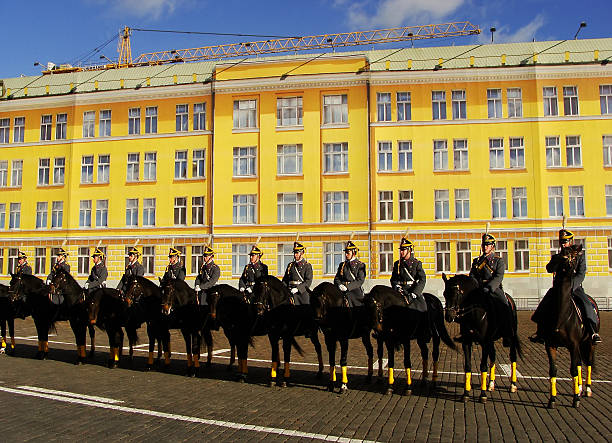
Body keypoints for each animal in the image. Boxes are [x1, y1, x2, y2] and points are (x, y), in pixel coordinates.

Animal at [440, 272, 520, 404]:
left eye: (457, 294)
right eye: (444, 293)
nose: (449, 316)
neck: (475, 313)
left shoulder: (485, 342)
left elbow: (483, 367)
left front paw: (482, 395)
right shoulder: (467, 342)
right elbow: (468, 366)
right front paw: (466, 393)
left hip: (510, 337)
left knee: (513, 357)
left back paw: (512, 385)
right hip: (491, 341)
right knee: (493, 356)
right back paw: (491, 384)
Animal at [532, 246, 596, 410]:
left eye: (574, 256)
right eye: (561, 256)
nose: (568, 269)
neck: (562, 315)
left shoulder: (573, 345)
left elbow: (573, 370)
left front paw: (576, 399)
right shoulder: (550, 344)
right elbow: (553, 370)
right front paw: (552, 399)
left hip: (589, 343)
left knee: (588, 363)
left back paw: (586, 389)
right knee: (580, 363)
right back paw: (579, 387)